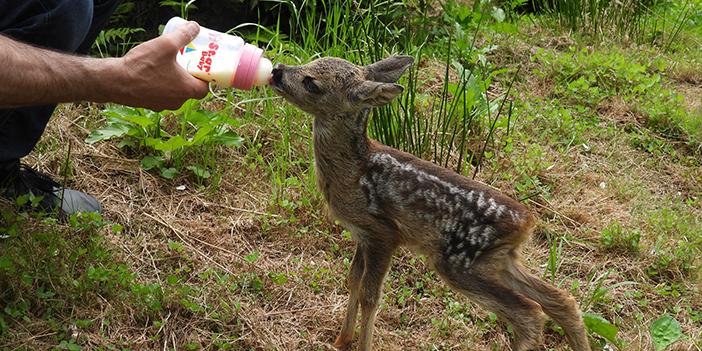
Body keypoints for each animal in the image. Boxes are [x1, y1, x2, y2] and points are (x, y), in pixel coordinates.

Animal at [272, 56, 592, 350]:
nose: (276, 70)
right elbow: (352, 280)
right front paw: (341, 341)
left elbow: (370, 295)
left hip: (459, 262)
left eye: (312, 83)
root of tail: (527, 223)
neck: (353, 170)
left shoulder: (383, 232)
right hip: (498, 261)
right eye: (311, 60)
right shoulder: (361, 233)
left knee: (530, 314)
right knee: (561, 299)